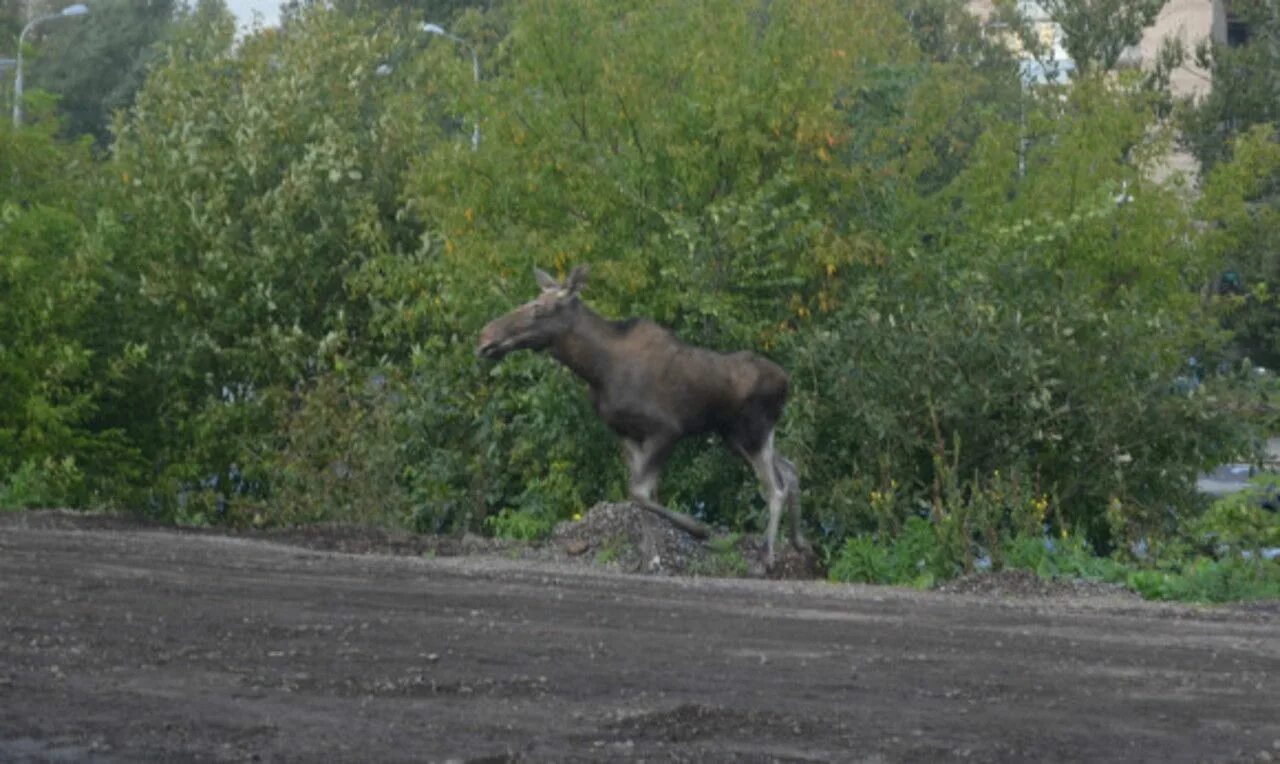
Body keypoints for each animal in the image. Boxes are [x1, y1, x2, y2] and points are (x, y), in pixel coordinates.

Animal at [481, 264, 798, 563]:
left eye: (539, 308)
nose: (485, 337)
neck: (596, 370)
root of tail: (787, 381)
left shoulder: (667, 429)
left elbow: (639, 492)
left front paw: (697, 529)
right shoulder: (626, 433)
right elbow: (640, 496)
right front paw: (651, 555)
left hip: (752, 431)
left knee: (775, 487)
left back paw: (768, 554)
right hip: (736, 436)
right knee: (789, 469)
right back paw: (798, 542)